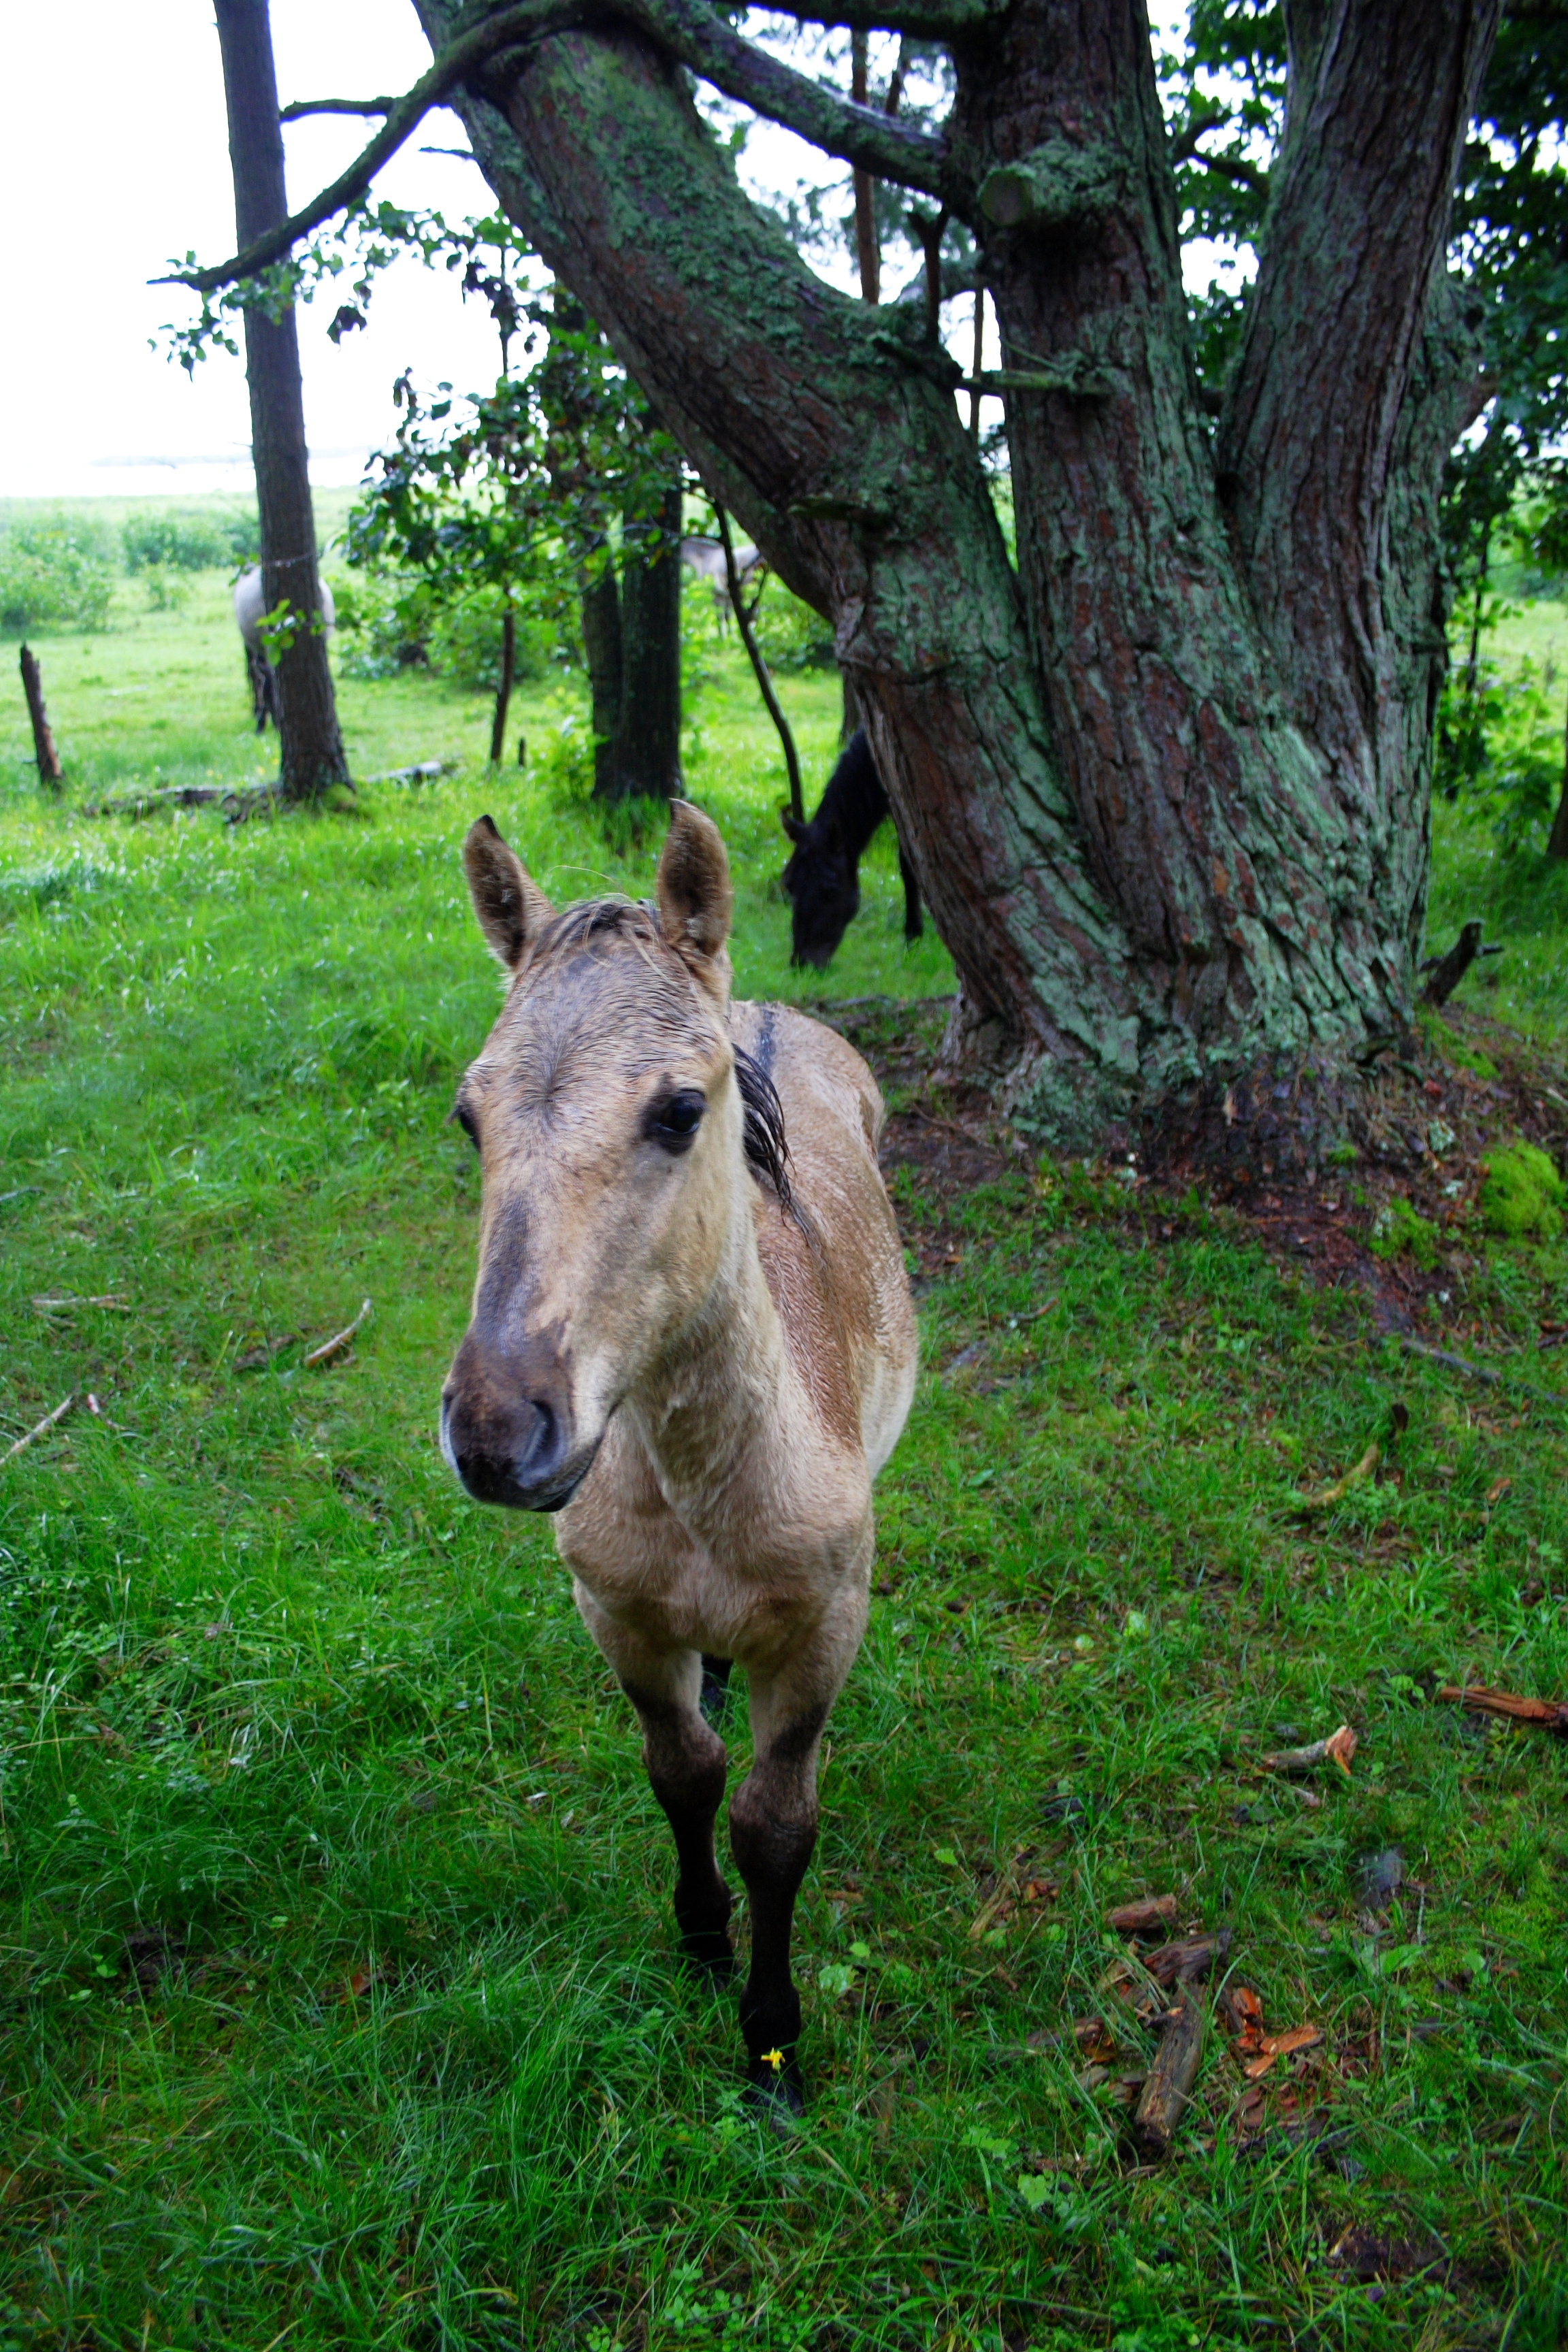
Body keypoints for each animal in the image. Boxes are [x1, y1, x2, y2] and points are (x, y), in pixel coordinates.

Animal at [440, 801, 917, 2107]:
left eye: (677, 1112)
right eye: (467, 1116)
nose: (496, 1433)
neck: (707, 1495)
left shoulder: (822, 1629)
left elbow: (773, 1821)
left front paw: (771, 2044)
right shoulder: (618, 1617)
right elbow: (684, 1771)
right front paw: (702, 1938)